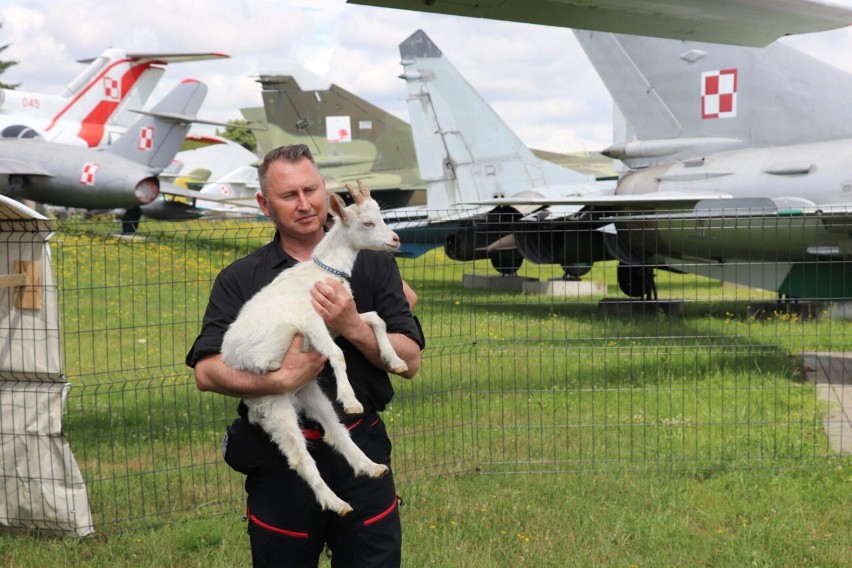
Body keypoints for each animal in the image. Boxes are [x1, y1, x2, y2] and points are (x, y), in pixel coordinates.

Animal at [218, 181, 408, 516]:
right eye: (367, 223)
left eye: (381, 216)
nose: (395, 239)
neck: (323, 273)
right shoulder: (310, 322)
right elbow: (337, 354)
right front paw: (351, 400)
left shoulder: (338, 318)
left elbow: (376, 319)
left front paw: (395, 361)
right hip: (273, 402)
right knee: (299, 458)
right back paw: (337, 503)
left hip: (309, 392)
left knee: (335, 430)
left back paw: (371, 467)